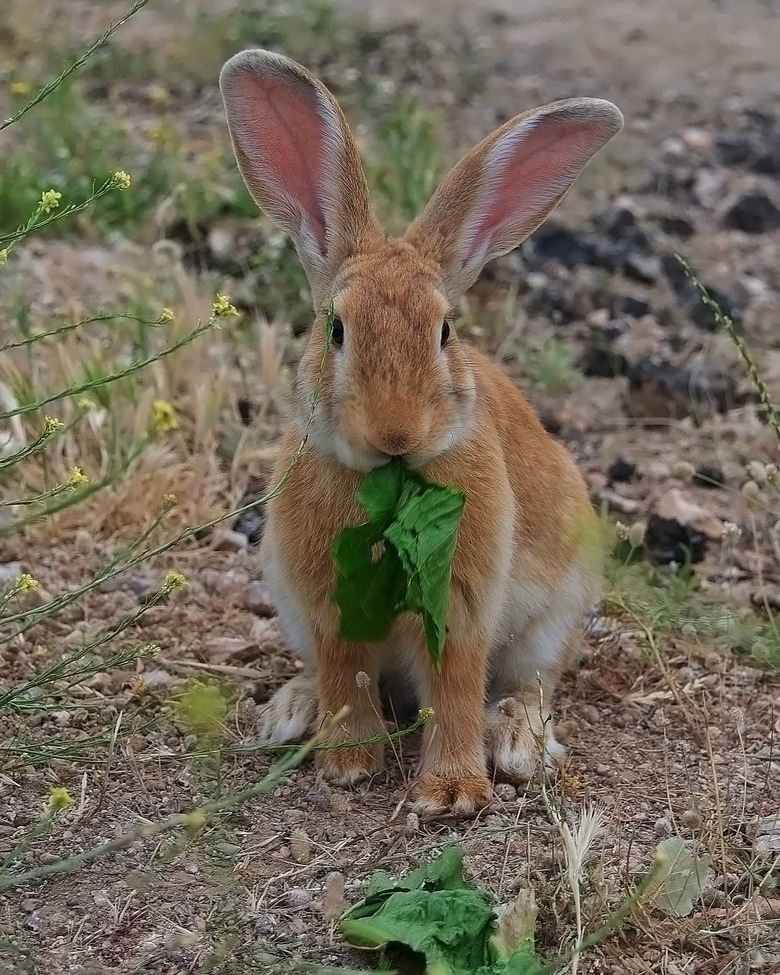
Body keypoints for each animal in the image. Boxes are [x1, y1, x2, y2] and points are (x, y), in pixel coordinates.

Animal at [222, 51, 624, 816]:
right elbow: (345, 670)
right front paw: (349, 764)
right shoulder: (324, 602)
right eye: (337, 329)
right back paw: (292, 710)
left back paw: (517, 743)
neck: (392, 489)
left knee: (532, 685)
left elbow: (456, 683)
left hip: (552, 621)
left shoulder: (463, 600)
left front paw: (453, 792)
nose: (396, 430)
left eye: (445, 331)